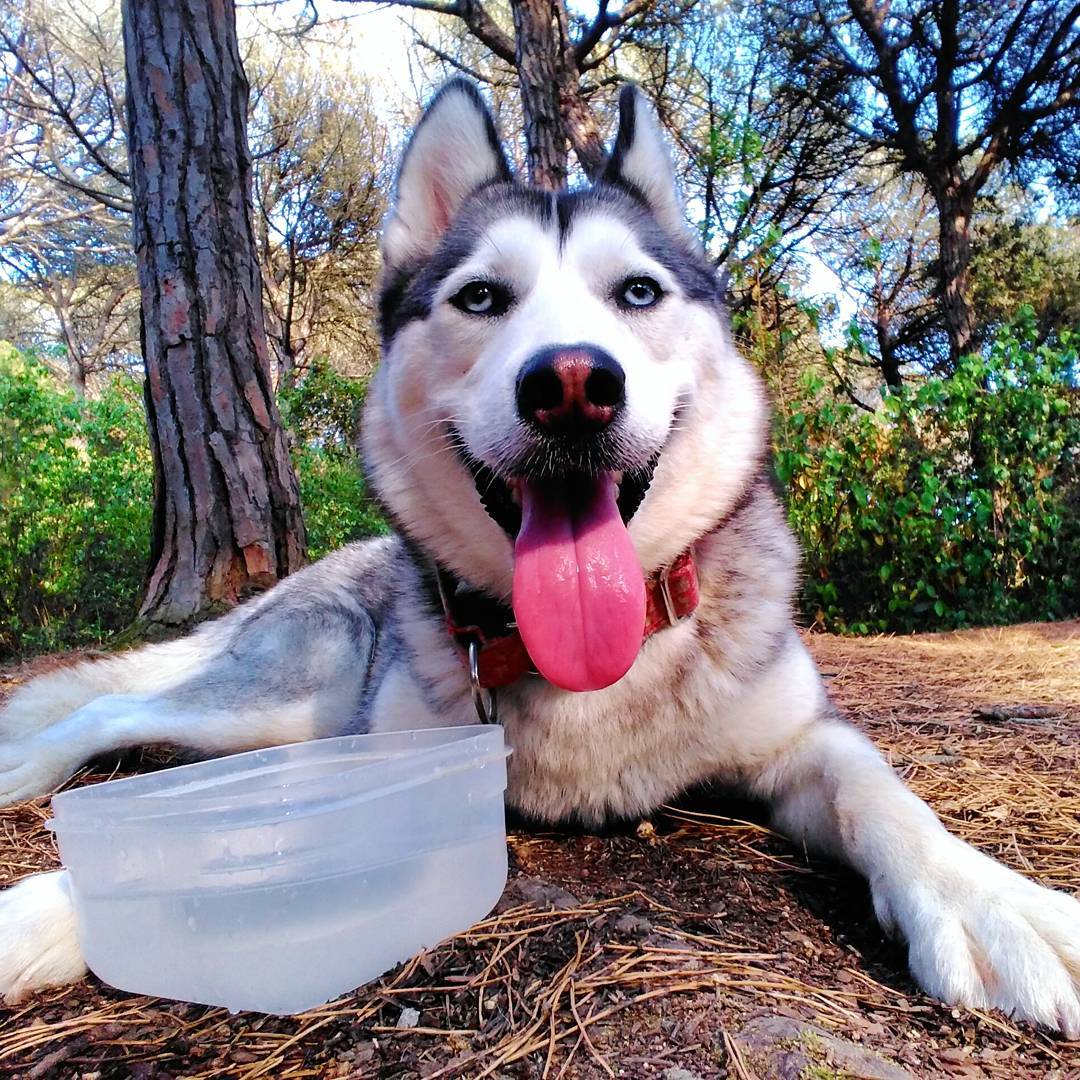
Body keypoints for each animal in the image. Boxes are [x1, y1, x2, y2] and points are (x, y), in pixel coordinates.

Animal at [2, 79, 1080, 1032]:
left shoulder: (800, 737)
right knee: (108, 707)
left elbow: (881, 795)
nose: (570, 385)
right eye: (481, 297)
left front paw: (994, 904)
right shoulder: (380, 751)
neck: (588, 662)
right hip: (294, 694)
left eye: (638, 291)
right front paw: (59, 908)